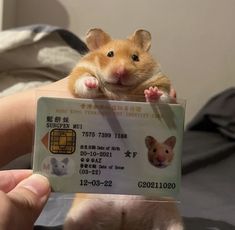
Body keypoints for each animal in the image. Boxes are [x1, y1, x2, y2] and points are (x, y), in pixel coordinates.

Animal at [63, 28, 183, 230]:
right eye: (109, 54)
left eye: (135, 57)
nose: (121, 71)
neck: (121, 91)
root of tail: (123, 220)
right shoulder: (79, 74)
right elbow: (83, 83)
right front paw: (93, 83)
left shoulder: (164, 85)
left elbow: (162, 96)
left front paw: (151, 92)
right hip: (76, 216)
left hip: (169, 216)